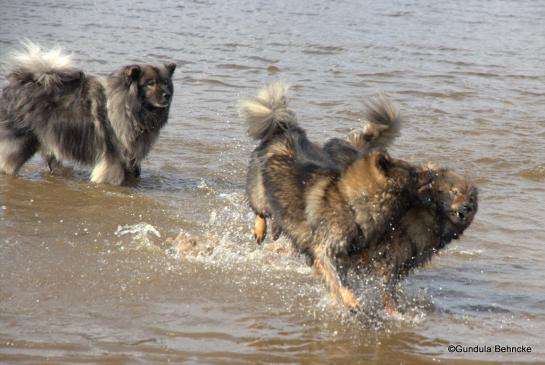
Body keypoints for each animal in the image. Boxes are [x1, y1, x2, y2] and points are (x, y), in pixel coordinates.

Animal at [0, 42, 174, 183]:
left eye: (165, 83)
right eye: (150, 84)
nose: (167, 94)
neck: (130, 108)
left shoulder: (131, 156)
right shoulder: (113, 158)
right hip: (21, 142)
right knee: (7, 164)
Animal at [242, 82, 476, 312]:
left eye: (471, 200)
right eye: (453, 192)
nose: (432, 171)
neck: (353, 205)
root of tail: (283, 131)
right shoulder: (330, 251)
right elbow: (340, 280)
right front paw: (352, 301)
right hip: (260, 194)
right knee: (260, 211)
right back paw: (261, 231)